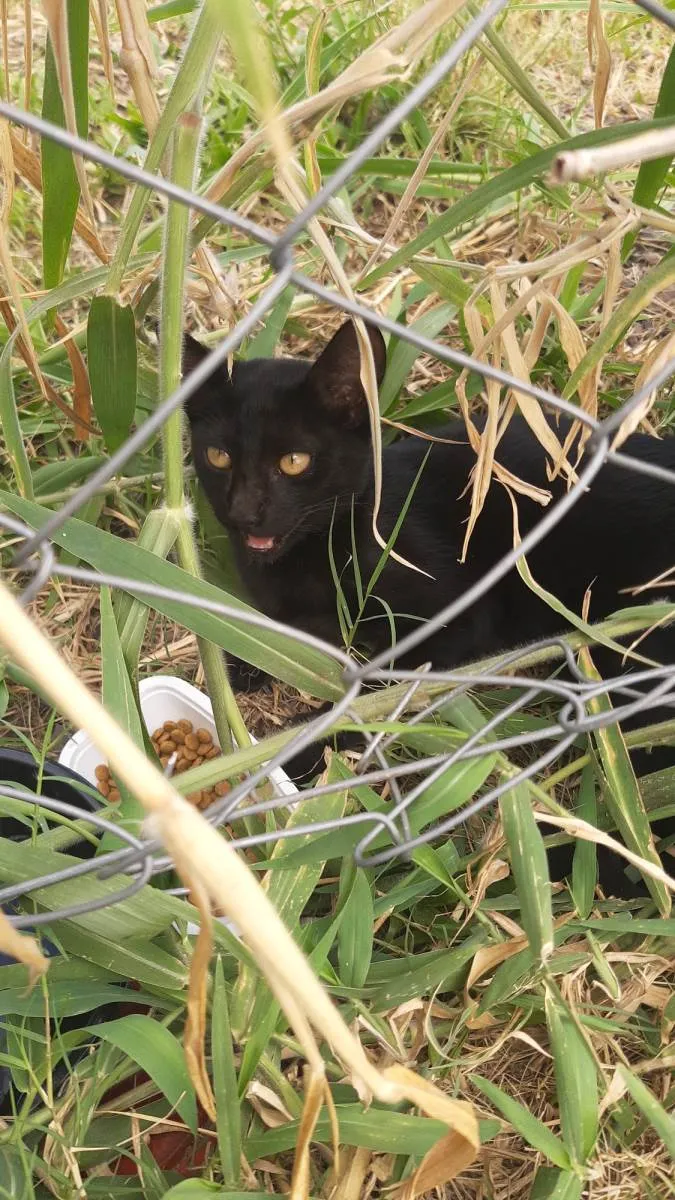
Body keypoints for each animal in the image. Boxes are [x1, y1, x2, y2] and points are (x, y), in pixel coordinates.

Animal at [183, 319, 672, 892]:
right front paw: (240, 665)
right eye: (218, 456)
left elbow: (374, 695)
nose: (244, 512)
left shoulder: (455, 618)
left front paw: (289, 750)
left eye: (294, 462)